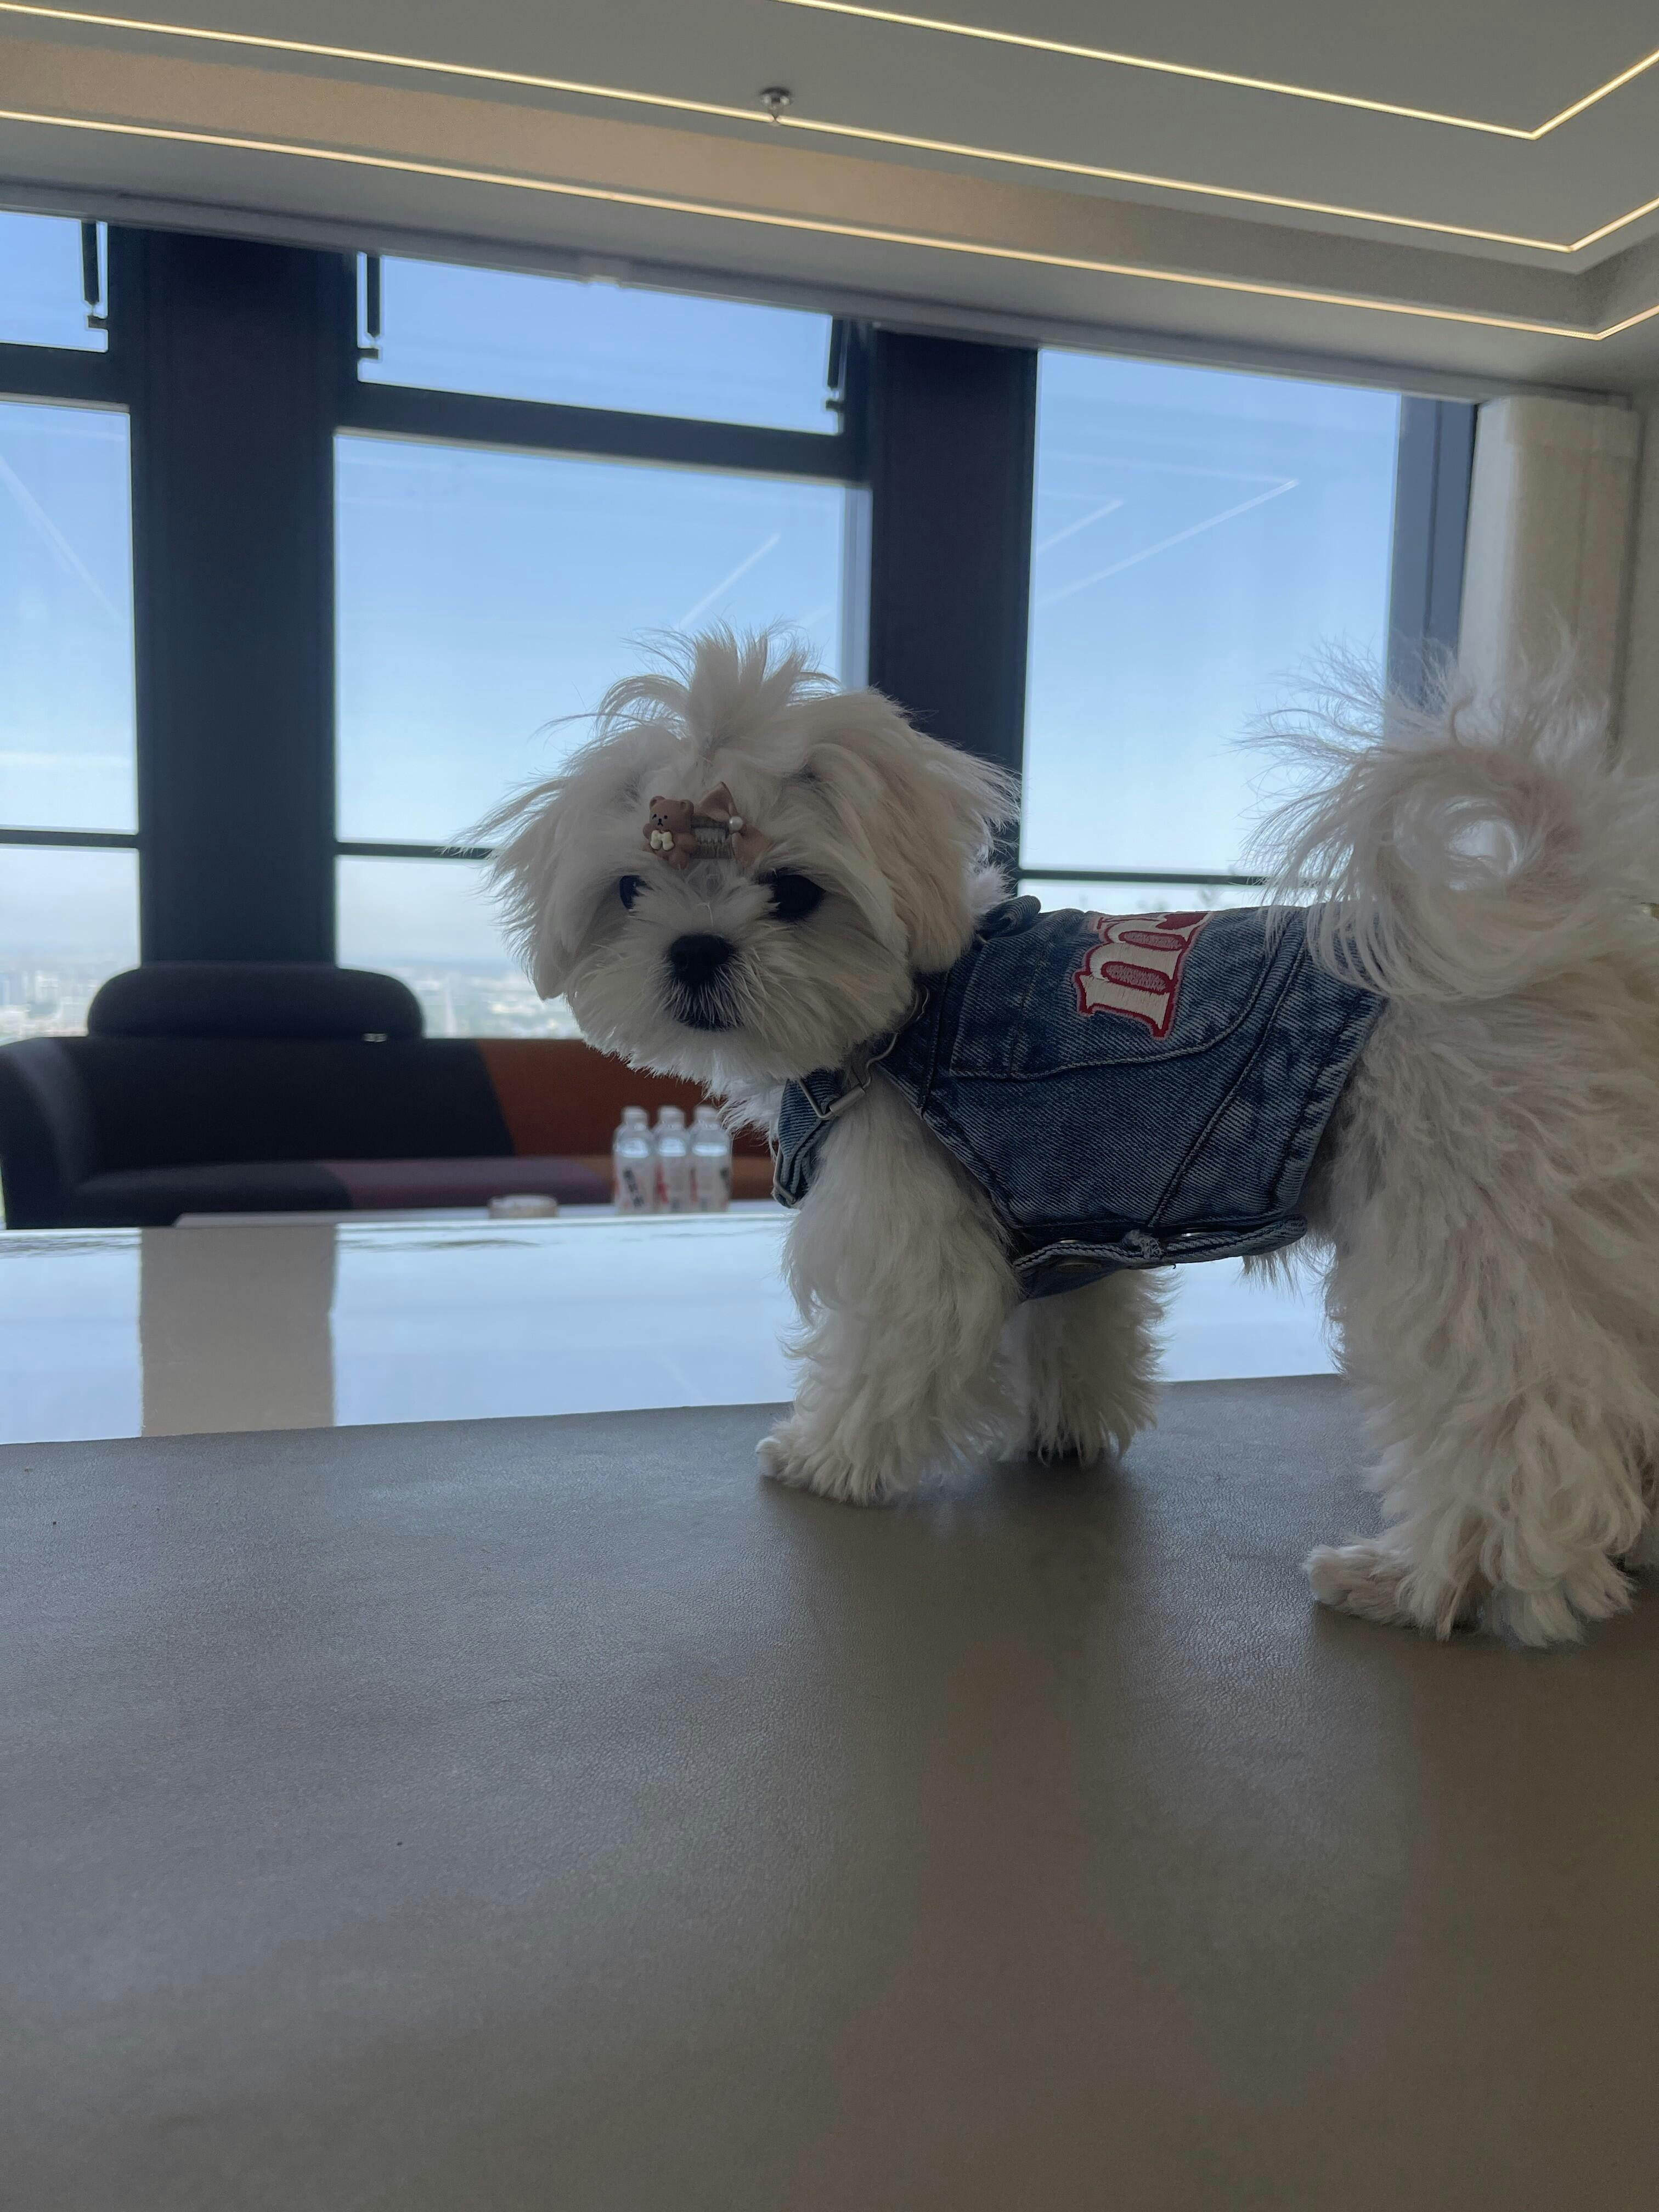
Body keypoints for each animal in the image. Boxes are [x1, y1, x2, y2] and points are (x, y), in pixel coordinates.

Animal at [482, 629, 1659, 1648]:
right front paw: (1065, 1429)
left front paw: (822, 1457)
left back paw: (1430, 1584)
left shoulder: (912, 1217)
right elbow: (1075, 1322)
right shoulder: (1069, 1217)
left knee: (1513, 1421)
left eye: (796, 892)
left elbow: (891, 1342)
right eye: (629, 888)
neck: (909, 1004)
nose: (691, 948)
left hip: (1469, 1226)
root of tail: (1551, 938)